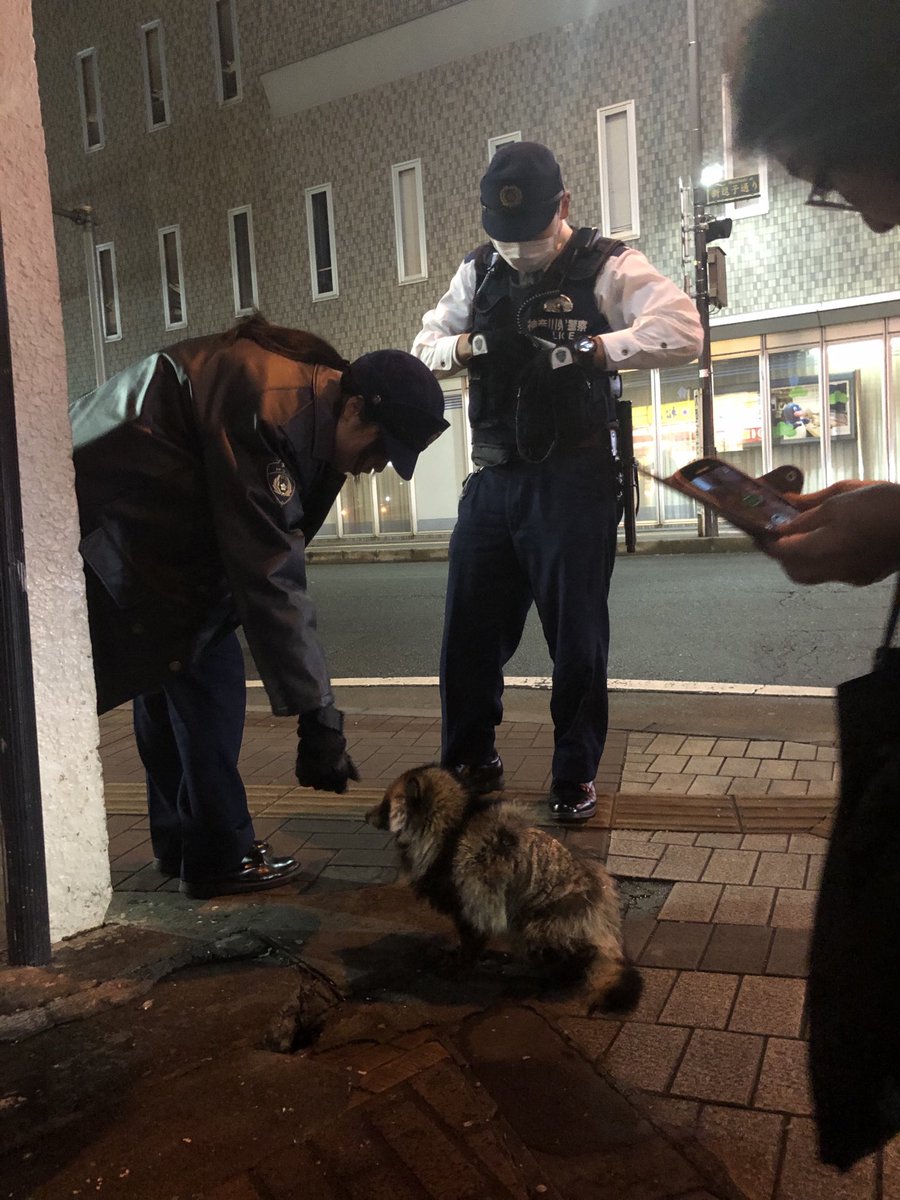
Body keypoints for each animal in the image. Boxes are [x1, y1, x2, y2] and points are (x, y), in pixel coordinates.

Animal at [364, 768, 643, 1012]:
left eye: (386, 805)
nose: (365, 816)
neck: (453, 825)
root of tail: (605, 922)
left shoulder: (471, 884)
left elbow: (473, 928)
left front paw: (463, 964)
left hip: (555, 921)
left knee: (544, 939)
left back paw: (556, 972)